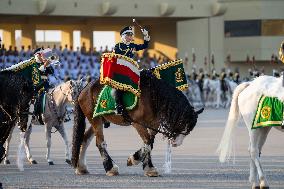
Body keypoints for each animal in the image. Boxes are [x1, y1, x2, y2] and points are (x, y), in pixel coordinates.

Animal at [72, 70, 203, 177]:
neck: (152, 96)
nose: (176, 143)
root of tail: (85, 89)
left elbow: (148, 144)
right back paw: (110, 168)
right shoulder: (138, 124)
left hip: (100, 119)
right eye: (182, 123)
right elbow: (148, 143)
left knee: (85, 139)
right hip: (95, 120)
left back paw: (81, 167)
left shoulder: (153, 125)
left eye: (190, 129)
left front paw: (146, 166)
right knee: (100, 142)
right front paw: (136, 161)